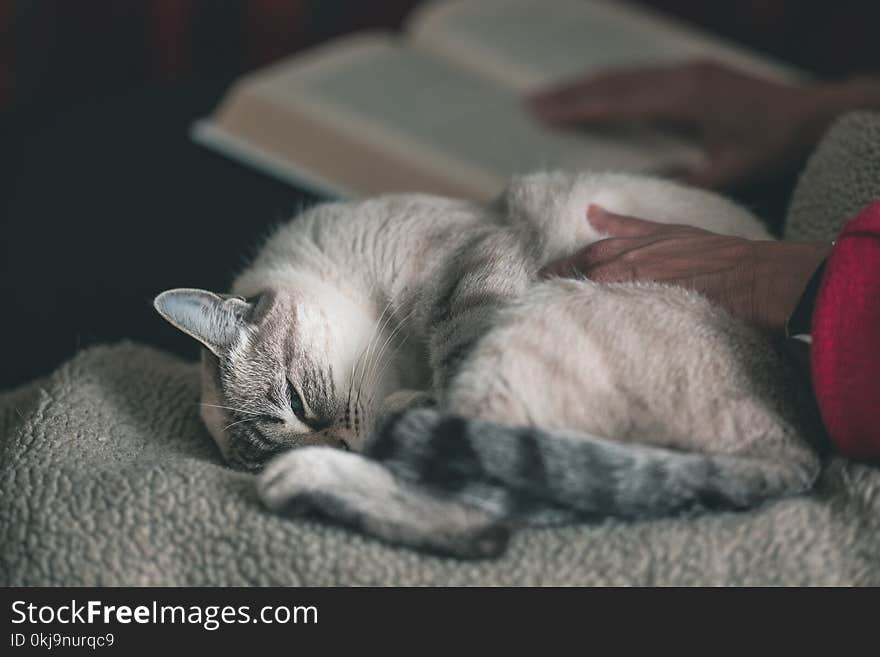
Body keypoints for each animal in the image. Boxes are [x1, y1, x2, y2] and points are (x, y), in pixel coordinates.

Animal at [155, 172, 820, 556]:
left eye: (298, 401)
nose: (347, 446)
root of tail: (797, 445)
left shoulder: (472, 269)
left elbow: (451, 358)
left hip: (529, 329)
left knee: (483, 513)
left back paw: (300, 481)